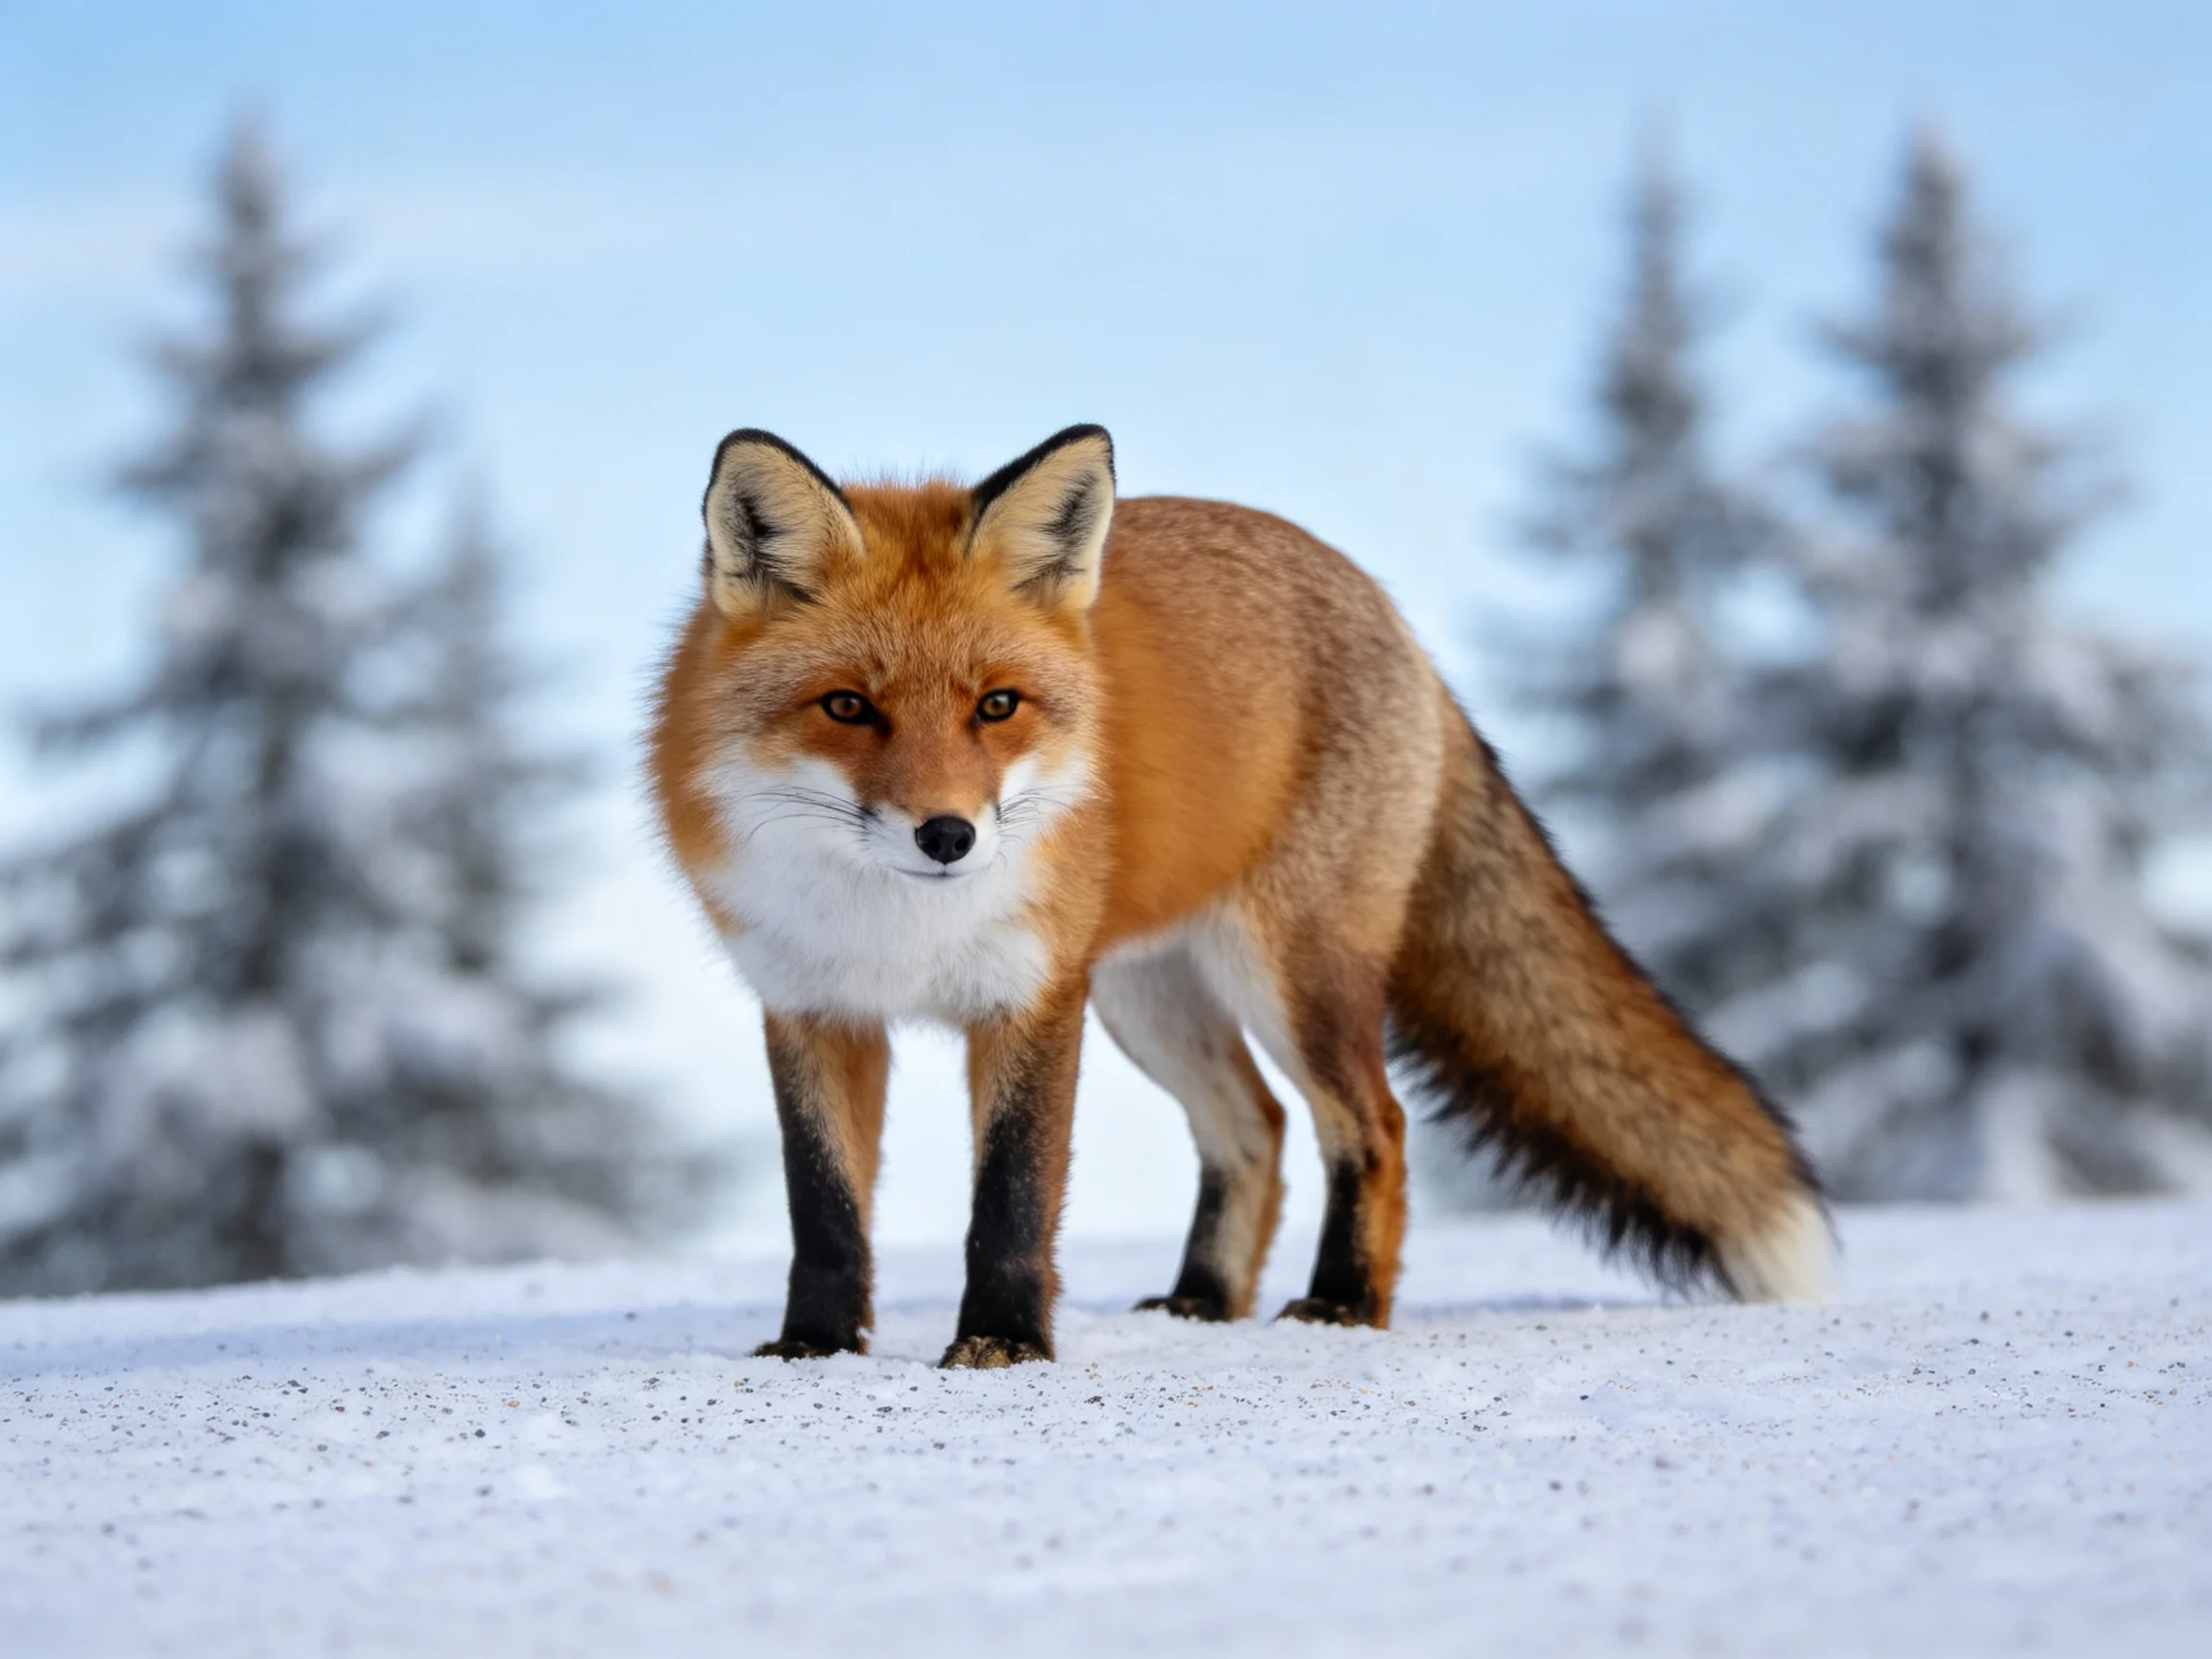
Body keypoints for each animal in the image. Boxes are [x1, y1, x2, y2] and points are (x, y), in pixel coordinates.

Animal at [649, 423, 1831, 1369]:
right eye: (848, 706)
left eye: (997, 706)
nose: (950, 836)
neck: (896, 926)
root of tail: (1393, 618)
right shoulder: (812, 1005)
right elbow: (825, 1211)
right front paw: (814, 1347)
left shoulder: (1031, 1000)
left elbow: (1013, 1201)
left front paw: (1002, 1345)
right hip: (1151, 998)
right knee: (1253, 1128)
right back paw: (1203, 1304)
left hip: (1290, 977)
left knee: (1372, 1125)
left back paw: (1343, 1305)